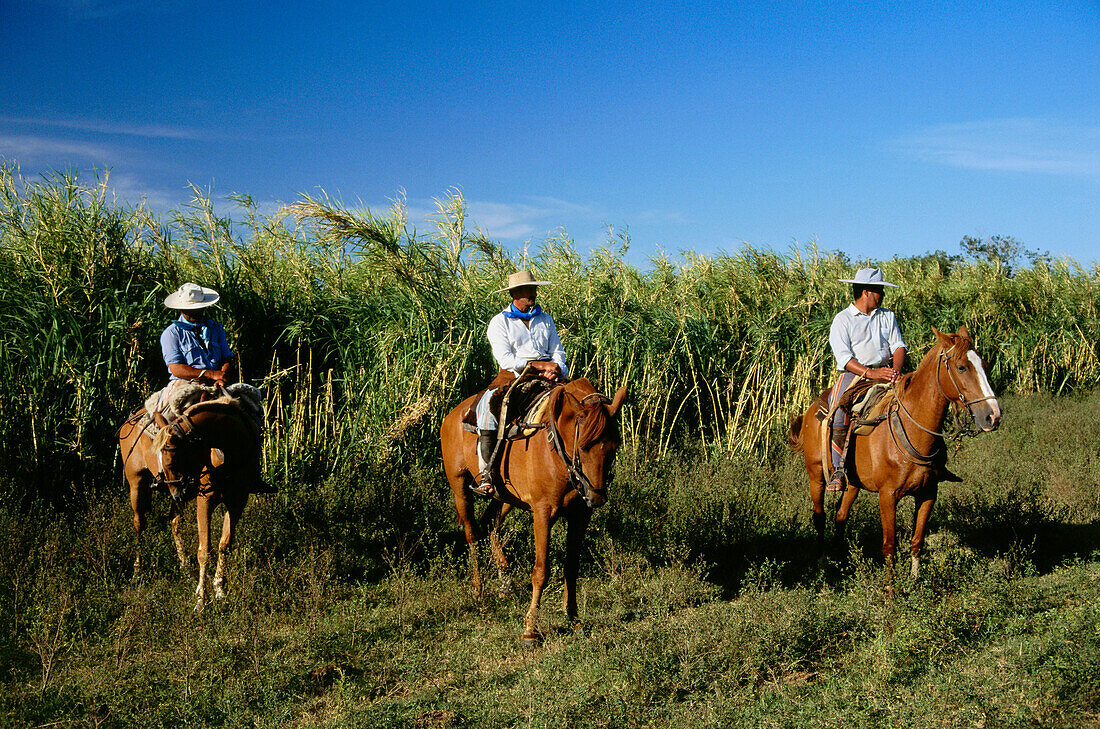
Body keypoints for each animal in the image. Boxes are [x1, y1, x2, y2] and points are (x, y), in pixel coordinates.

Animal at [117, 395, 259, 606]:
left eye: (174, 459)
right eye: (163, 458)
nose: (177, 491)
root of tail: (132, 417)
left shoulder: (238, 500)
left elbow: (224, 543)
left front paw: (219, 589)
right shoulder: (205, 501)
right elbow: (204, 550)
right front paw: (201, 599)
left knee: (174, 522)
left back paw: (185, 569)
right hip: (136, 483)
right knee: (139, 523)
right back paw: (137, 571)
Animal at [440, 376, 629, 646]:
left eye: (614, 446)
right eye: (582, 446)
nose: (596, 498)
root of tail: (452, 415)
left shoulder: (580, 515)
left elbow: (571, 565)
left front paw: (573, 618)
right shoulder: (543, 512)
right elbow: (541, 571)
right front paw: (530, 629)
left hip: (505, 496)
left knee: (491, 526)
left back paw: (505, 583)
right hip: (460, 489)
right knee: (472, 534)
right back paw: (479, 592)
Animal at [796, 327, 1003, 580]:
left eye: (983, 364)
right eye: (962, 367)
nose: (993, 416)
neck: (914, 429)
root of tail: (812, 407)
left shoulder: (928, 493)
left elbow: (917, 541)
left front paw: (914, 581)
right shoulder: (888, 495)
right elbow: (889, 545)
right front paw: (890, 588)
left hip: (852, 483)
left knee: (841, 516)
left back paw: (841, 560)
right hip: (815, 474)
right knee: (820, 517)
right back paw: (822, 564)